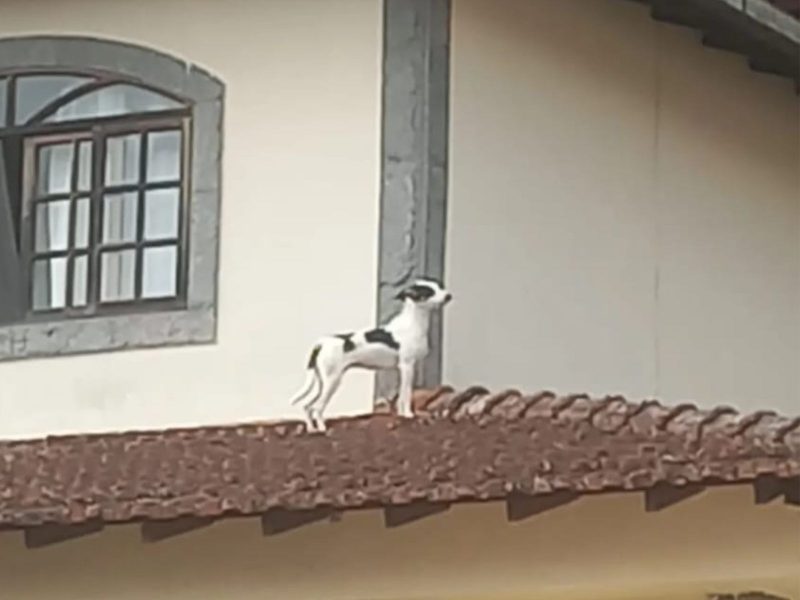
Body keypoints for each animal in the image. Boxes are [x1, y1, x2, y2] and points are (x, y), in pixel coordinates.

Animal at [290, 278, 454, 434]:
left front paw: (402, 414)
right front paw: (408, 414)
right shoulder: (407, 366)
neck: (412, 323)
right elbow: (406, 395)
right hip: (332, 381)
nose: (449, 296)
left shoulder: (403, 369)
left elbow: (401, 396)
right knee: (317, 407)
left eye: (439, 287)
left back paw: (311, 429)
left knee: (306, 406)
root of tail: (321, 343)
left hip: (321, 382)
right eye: (429, 292)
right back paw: (322, 428)